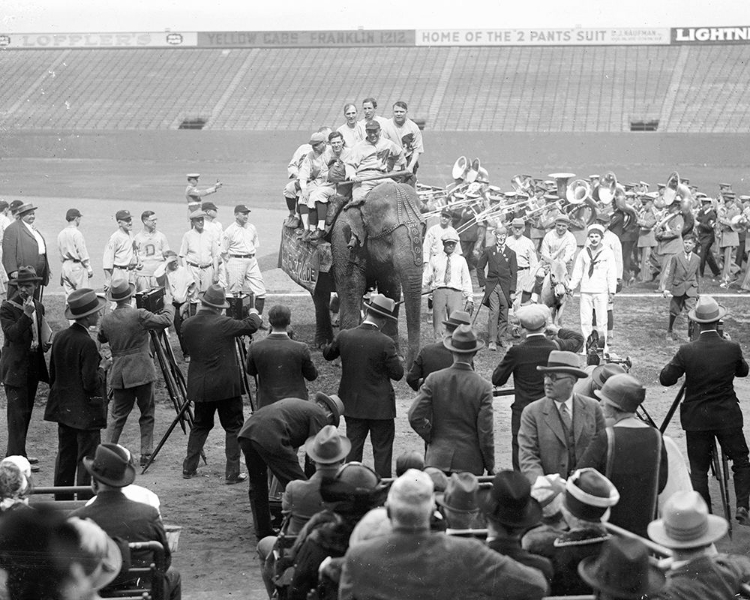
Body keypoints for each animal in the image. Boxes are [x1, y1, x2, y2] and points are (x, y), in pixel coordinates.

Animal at [290, 179, 426, 366]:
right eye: (387, 235)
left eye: (423, 229)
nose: (408, 365)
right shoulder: (342, 240)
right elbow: (352, 287)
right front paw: (344, 358)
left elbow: (392, 289)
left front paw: (396, 355)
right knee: (320, 295)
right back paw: (323, 343)